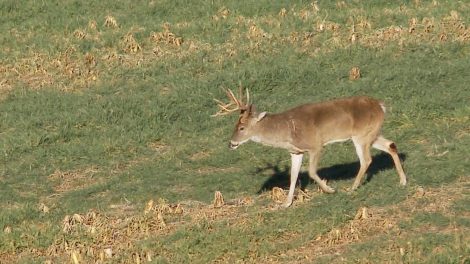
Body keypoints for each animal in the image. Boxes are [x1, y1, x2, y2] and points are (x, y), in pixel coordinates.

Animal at [214, 88, 408, 208]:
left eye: (241, 127)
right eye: (235, 125)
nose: (231, 143)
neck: (287, 131)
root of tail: (380, 106)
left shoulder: (315, 145)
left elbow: (312, 171)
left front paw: (330, 190)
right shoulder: (295, 151)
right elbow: (293, 176)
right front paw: (286, 203)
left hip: (360, 135)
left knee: (366, 159)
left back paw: (352, 188)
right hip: (371, 133)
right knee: (391, 144)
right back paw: (402, 181)